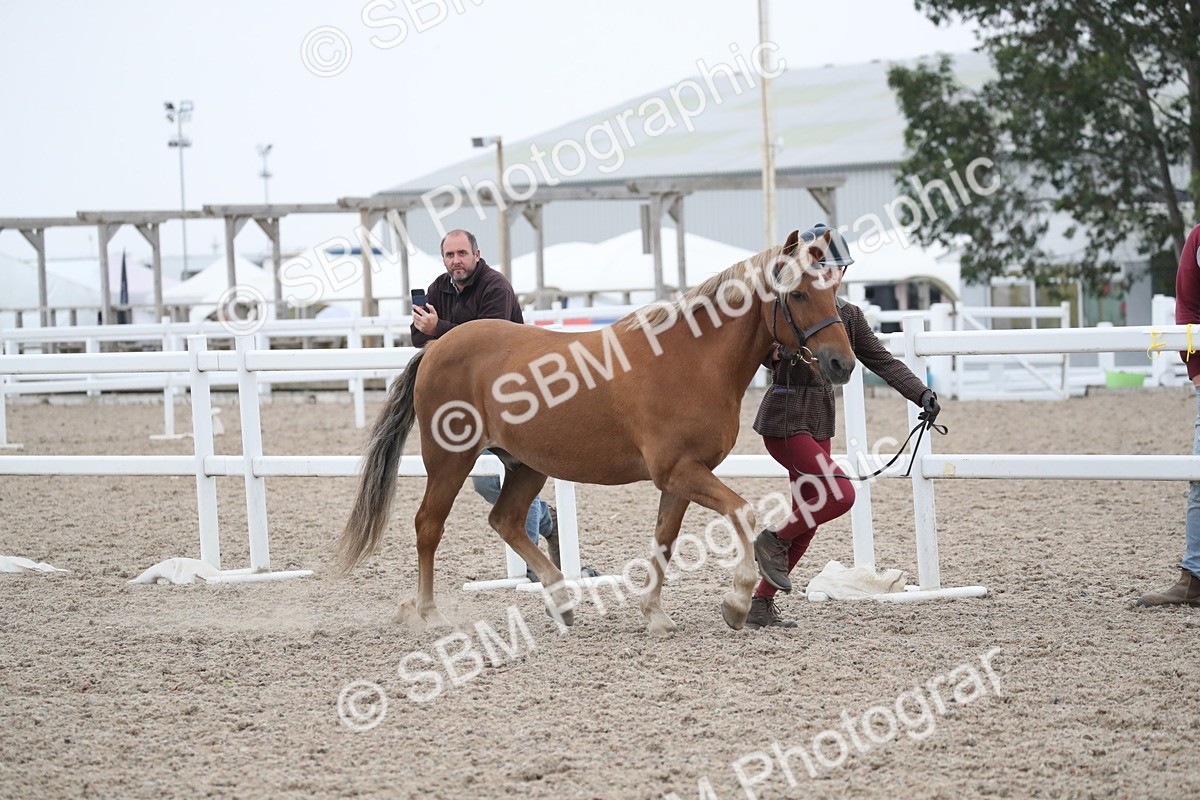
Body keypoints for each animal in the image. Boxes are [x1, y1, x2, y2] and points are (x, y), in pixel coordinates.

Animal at [333, 229, 856, 635]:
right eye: (799, 294)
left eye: (834, 292)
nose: (843, 364)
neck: (692, 359)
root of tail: (438, 346)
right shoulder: (680, 471)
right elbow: (742, 513)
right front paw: (737, 602)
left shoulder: (681, 478)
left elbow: (664, 540)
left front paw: (655, 614)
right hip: (449, 460)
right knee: (429, 526)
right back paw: (430, 613)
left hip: (525, 465)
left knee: (506, 520)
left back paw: (563, 601)